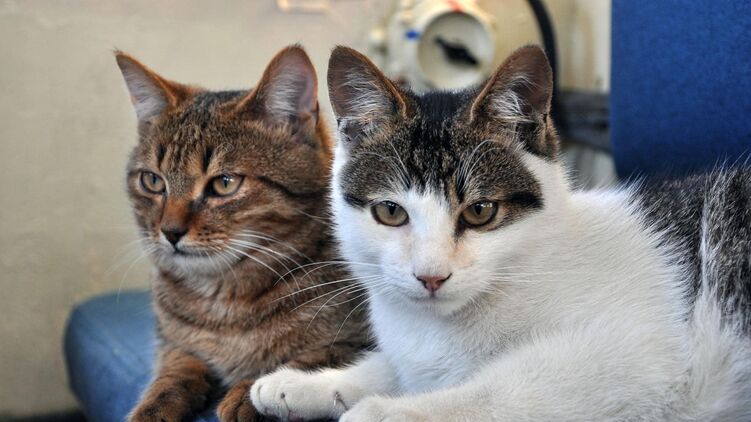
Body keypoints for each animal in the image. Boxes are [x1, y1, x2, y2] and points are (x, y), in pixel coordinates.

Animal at [115, 45, 370, 422]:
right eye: (152, 181)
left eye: (224, 183)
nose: (170, 231)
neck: (225, 302)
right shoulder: (172, 344)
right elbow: (175, 369)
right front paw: (153, 406)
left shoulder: (365, 339)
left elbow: (315, 357)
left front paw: (250, 394)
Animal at [250, 45, 751, 421]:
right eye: (390, 211)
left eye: (480, 211)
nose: (431, 276)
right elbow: (399, 367)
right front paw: (308, 384)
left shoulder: (642, 356)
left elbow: (500, 388)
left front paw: (386, 411)